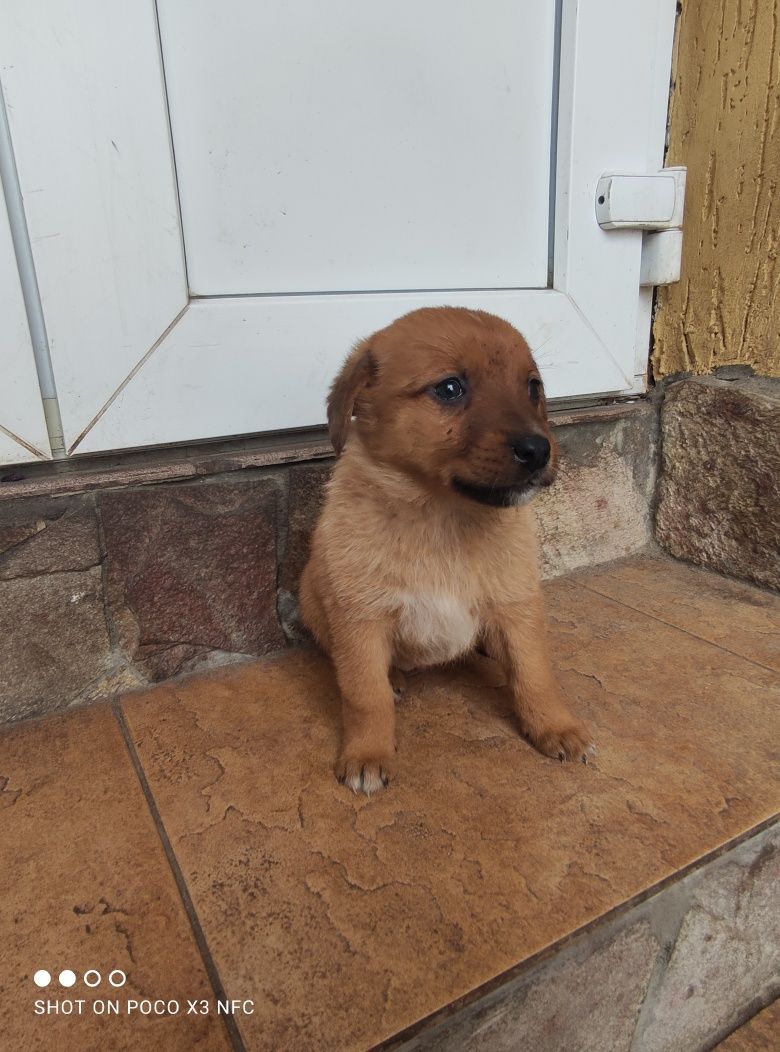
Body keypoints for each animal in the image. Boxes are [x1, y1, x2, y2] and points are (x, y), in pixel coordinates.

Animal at [301, 307, 593, 791]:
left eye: (533, 387)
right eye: (450, 388)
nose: (538, 450)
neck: (444, 519)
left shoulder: (517, 605)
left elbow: (534, 674)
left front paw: (556, 727)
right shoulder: (360, 618)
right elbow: (365, 695)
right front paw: (367, 754)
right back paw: (396, 676)